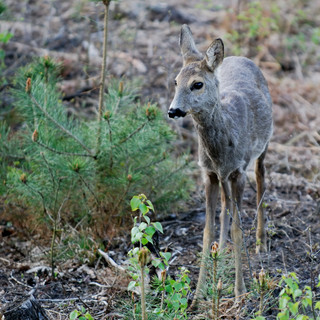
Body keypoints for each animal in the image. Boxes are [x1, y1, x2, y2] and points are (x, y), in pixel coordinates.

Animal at [168, 24, 272, 300]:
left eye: (197, 84)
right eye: (175, 81)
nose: (173, 110)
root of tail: (241, 58)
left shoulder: (238, 172)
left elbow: (238, 228)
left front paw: (240, 291)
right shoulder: (209, 174)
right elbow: (207, 231)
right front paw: (196, 295)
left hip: (264, 146)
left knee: (262, 179)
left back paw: (260, 242)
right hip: (223, 177)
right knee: (226, 203)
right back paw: (223, 248)